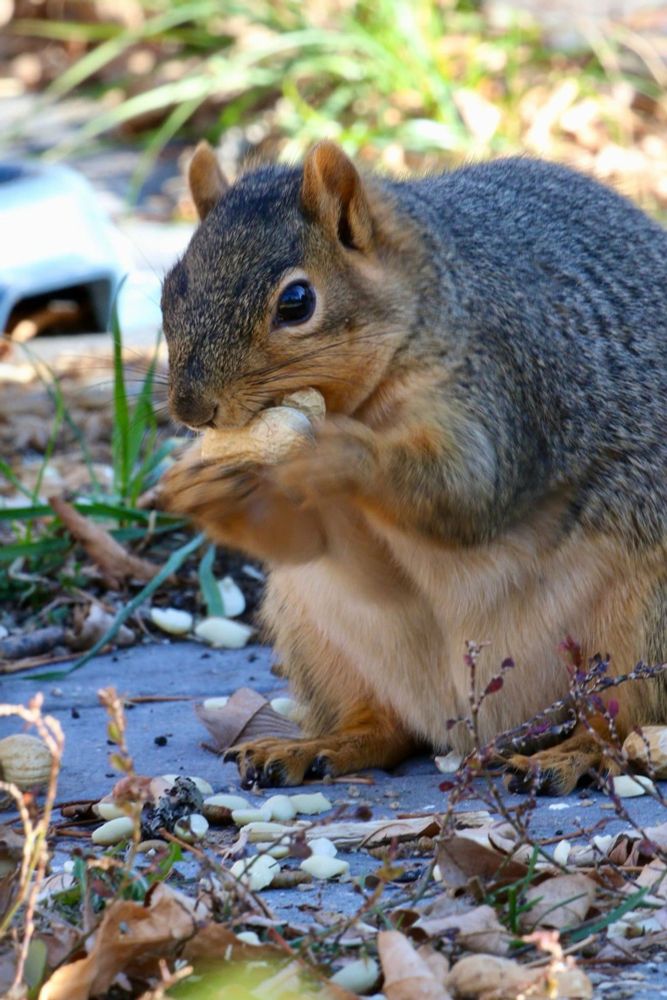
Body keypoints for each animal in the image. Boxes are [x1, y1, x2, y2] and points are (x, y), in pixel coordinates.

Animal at [161, 139, 667, 794]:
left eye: (296, 302)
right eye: (171, 289)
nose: (190, 408)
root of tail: (478, 728)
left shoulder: (498, 382)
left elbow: (468, 493)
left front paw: (331, 450)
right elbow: (306, 541)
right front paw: (203, 489)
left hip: (645, 626)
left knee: (622, 722)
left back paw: (571, 754)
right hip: (318, 638)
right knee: (385, 727)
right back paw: (319, 745)